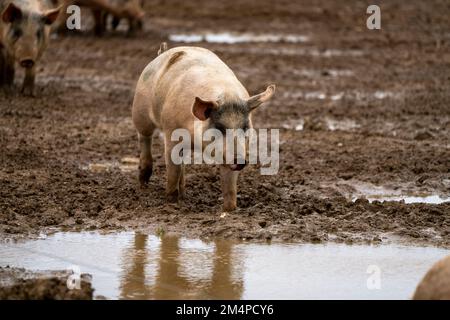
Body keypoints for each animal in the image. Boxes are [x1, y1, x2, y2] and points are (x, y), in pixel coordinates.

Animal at [132, 43, 276, 211]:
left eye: (245, 127)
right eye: (219, 127)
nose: (240, 160)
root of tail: (162, 52)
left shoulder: (230, 154)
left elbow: (230, 186)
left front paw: (230, 209)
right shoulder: (170, 131)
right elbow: (172, 170)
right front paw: (171, 203)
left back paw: (183, 194)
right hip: (139, 111)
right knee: (145, 138)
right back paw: (144, 185)